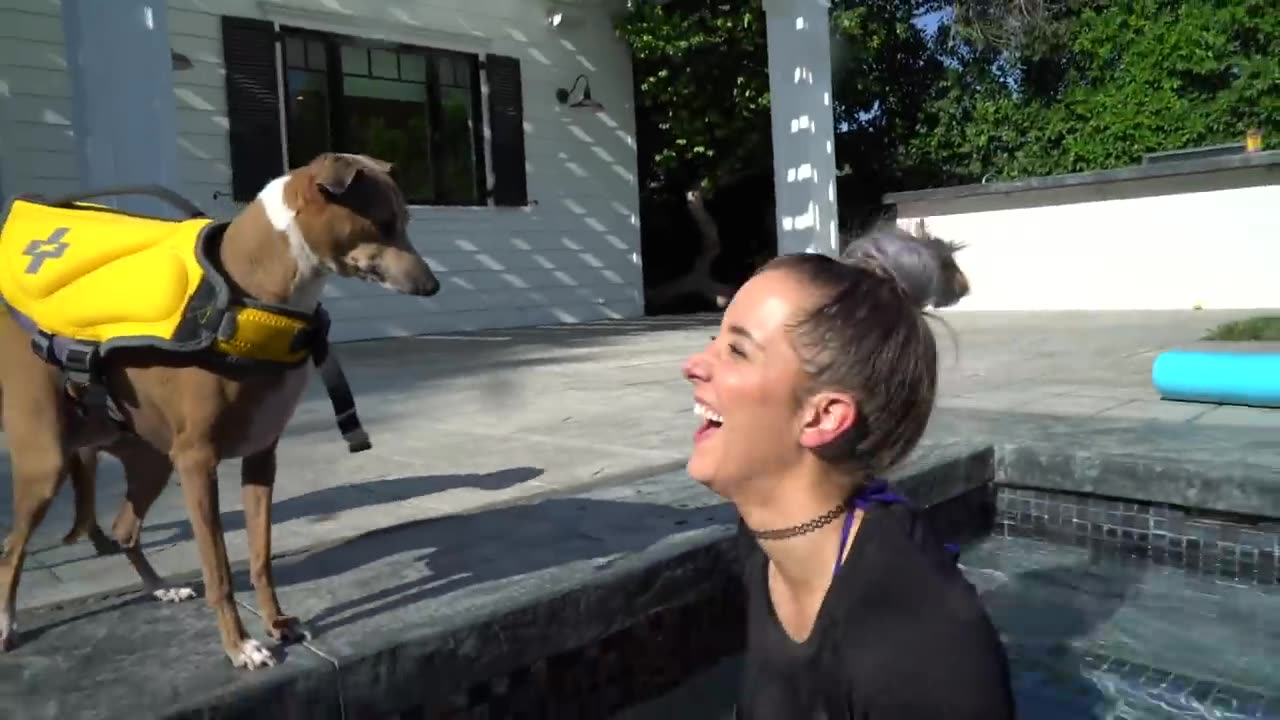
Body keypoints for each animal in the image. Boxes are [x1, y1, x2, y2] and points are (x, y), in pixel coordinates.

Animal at [0, 151, 437, 666]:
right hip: (47, 463)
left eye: (405, 220)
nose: (433, 286)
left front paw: (277, 624)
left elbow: (261, 557)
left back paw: (160, 588)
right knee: (11, 548)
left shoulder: (260, 458)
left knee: (125, 529)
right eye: (384, 223)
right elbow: (220, 571)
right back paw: (6, 623)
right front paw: (240, 646)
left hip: (151, 462)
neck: (256, 297)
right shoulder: (197, 463)